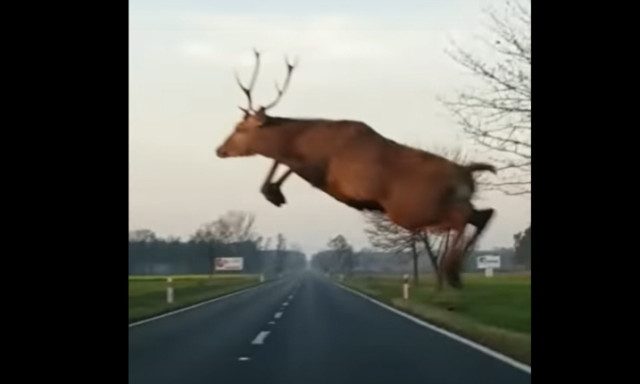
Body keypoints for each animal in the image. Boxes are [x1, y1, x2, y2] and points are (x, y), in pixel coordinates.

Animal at [215, 49, 496, 286]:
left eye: (239, 128)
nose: (219, 150)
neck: (303, 138)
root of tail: (467, 174)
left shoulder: (321, 170)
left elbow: (284, 161)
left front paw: (273, 193)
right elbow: (281, 161)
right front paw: (273, 192)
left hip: (412, 208)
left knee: (463, 217)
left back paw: (451, 272)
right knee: (483, 214)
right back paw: (454, 274)